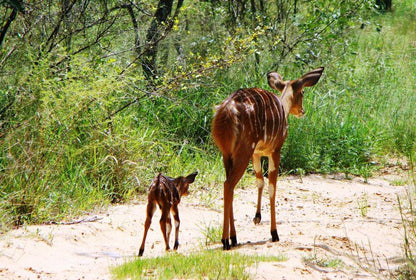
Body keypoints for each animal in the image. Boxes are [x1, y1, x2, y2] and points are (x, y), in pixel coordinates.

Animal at [211, 67, 324, 249]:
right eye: (303, 91)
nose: (302, 111)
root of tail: (227, 111)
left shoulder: (257, 153)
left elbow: (260, 180)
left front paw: (257, 217)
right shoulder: (275, 150)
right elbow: (272, 187)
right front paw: (274, 233)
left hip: (226, 153)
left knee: (229, 185)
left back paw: (233, 238)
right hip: (243, 150)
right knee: (228, 185)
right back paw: (226, 241)